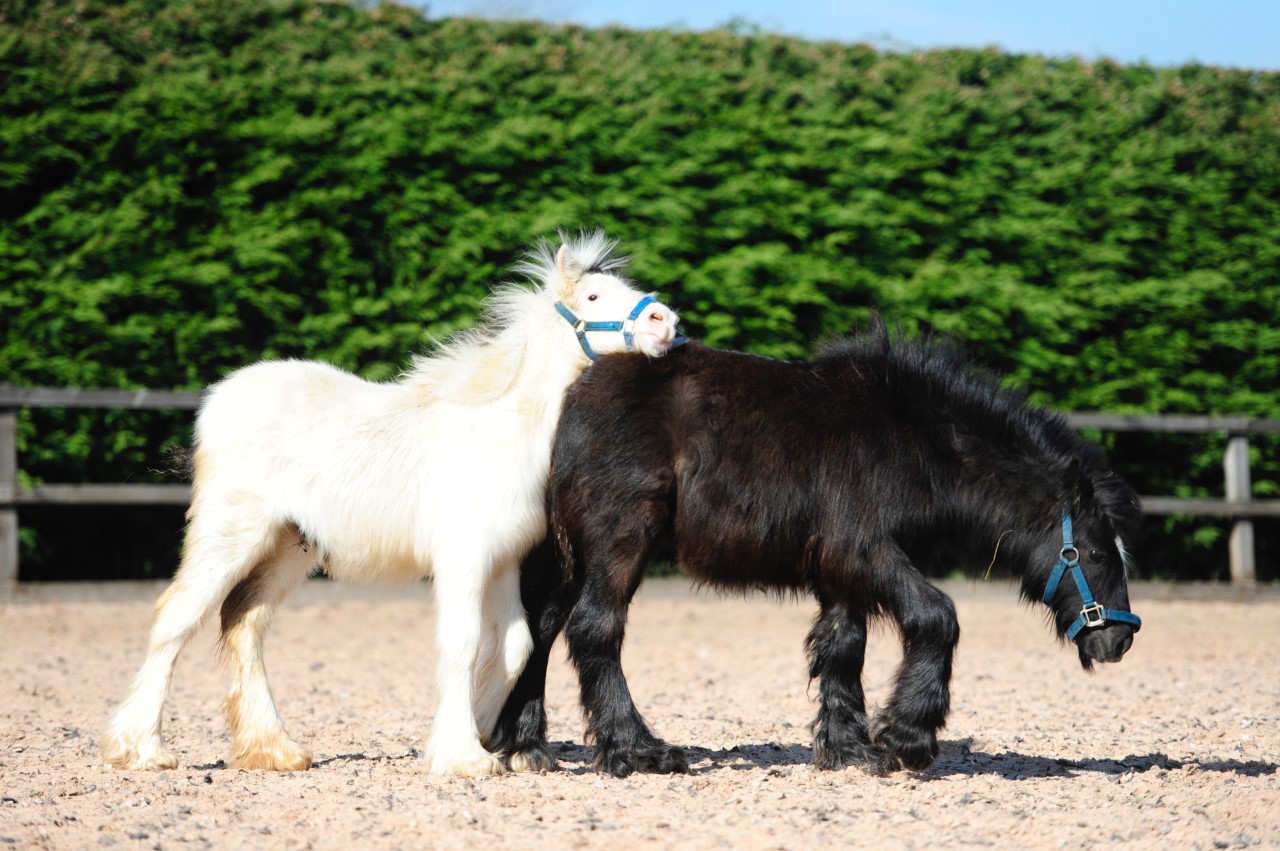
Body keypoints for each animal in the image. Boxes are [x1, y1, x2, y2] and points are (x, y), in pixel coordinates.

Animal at [102, 232, 680, 778]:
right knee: (176, 616)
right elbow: (464, 640)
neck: (499, 427)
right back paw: (141, 749)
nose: (665, 321)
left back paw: (274, 750)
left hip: (289, 545)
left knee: (243, 620)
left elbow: (514, 643)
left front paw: (485, 737)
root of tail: (218, 402)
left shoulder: (502, 560)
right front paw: (462, 756)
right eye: (593, 295)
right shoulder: (463, 558)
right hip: (230, 532)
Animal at [488, 318, 1141, 778]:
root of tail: (570, 401)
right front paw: (907, 737)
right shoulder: (863, 551)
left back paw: (526, 746)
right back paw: (638, 751)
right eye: (1095, 553)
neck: (910, 437)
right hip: (620, 539)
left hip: (572, 555)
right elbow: (937, 616)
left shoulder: (838, 570)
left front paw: (850, 748)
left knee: (540, 627)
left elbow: (842, 648)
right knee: (595, 629)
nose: (1118, 641)